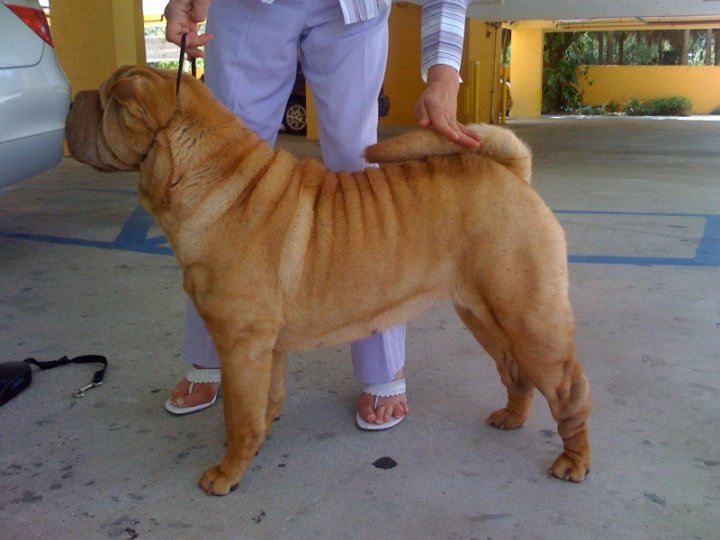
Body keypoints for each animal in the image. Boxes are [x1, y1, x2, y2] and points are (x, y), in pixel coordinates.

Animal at [65, 65, 591, 495]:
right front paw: (260, 437)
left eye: (108, 101)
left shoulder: (240, 342)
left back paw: (572, 461)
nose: (73, 98)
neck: (207, 179)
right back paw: (510, 418)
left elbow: (237, 415)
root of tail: (511, 170)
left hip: (529, 315)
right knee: (515, 372)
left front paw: (226, 474)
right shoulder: (265, 345)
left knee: (568, 390)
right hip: (483, 313)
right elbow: (264, 402)